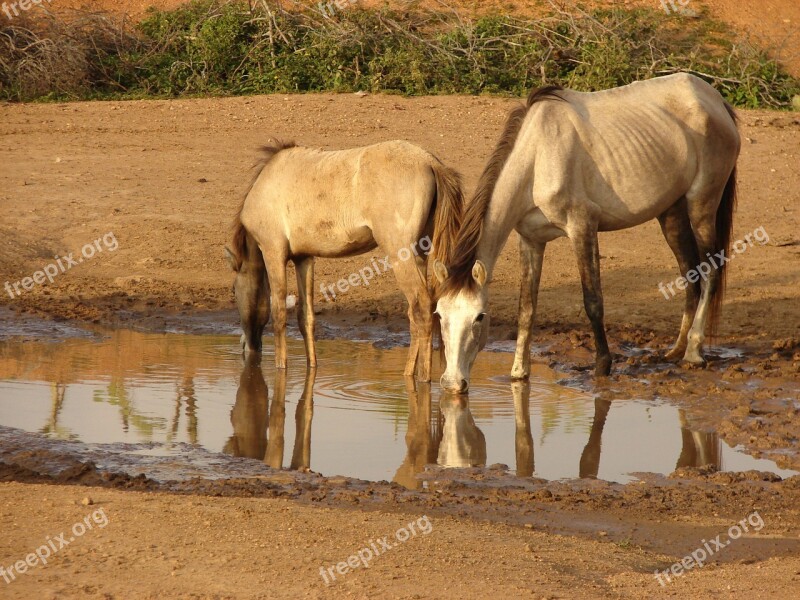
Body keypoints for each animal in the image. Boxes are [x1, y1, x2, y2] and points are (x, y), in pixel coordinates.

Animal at [225, 141, 462, 380]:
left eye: (234, 290)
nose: (246, 346)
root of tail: (429, 162)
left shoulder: (273, 252)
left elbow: (279, 314)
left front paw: (281, 367)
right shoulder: (304, 258)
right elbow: (306, 317)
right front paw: (312, 367)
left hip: (400, 256)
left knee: (421, 308)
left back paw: (423, 378)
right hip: (419, 254)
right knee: (416, 313)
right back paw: (410, 374)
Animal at [434, 74, 740, 394]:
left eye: (479, 317)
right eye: (439, 314)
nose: (452, 383)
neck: (537, 157)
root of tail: (715, 100)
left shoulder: (582, 227)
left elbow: (593, 302)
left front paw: (602, 365)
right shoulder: (531, 240)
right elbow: (527, 307)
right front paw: (518, 373)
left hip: (702, 205)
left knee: (711, 270)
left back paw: (693, 352)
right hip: (671, 213)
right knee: (690, 273)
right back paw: (676, 350)